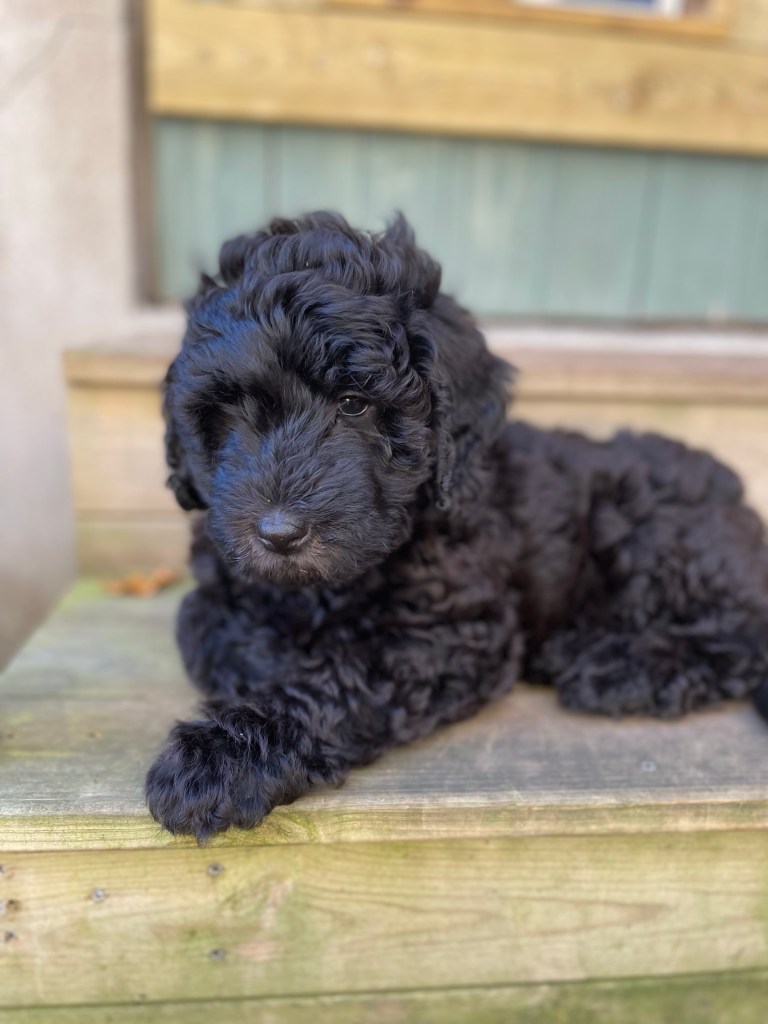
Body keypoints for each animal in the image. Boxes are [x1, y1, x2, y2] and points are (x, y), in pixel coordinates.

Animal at [146, 211, 768, 841]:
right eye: (228, 407)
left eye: (353, 403)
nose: (278, 533)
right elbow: (202, 623)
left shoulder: (445, 635)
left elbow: (335, 677)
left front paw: (219, 757)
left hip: (656, 537)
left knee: (745, 635)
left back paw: (622, 666)